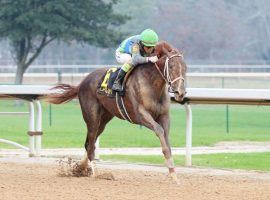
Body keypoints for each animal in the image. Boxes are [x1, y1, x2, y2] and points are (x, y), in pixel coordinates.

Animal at [46, 41, 186, 184]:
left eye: (185, 68)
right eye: (172, 66)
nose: (180, 92)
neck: (151, 82)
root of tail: (82, 83)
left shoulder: (164, 116)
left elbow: (166, 138)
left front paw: (173, 175)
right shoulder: (141, 115)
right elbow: (159, 130)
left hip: (104, 119)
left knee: (89, 143)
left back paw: (80, 168)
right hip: (92, 117)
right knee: (90, 145)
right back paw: (96, 173)